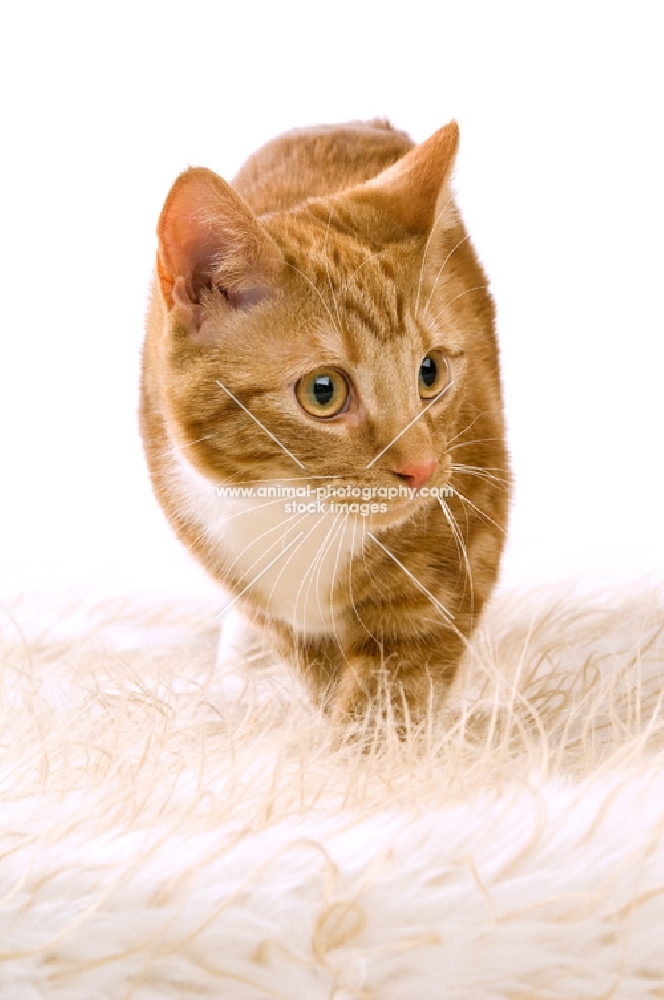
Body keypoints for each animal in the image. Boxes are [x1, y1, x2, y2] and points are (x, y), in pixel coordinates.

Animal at [143, 121, 510, 724]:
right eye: (324, 391)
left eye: (429, 372)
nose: (424, 468)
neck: (293, 508)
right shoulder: (260, 594)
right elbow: (314, 668)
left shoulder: (453, 550)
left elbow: (392, 689)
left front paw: (361, 743)